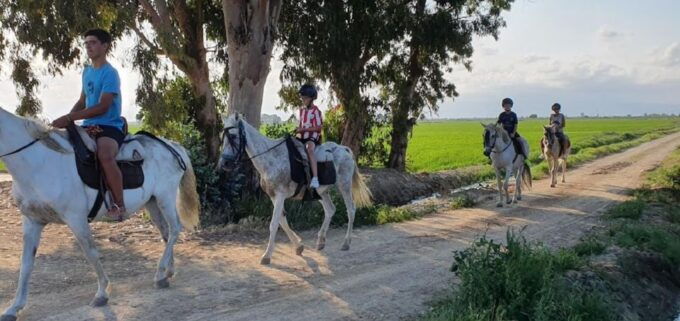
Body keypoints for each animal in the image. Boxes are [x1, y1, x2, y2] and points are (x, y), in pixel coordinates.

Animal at [0, 105, 201, 320]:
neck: (39, 162)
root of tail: (172, 146)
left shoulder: (76, 218)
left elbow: (91, 253)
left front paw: (102, 293)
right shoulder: (32, 221)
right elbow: (26, 264)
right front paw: (14, 307)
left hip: (165, 197)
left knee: (175, 229)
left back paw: (160, 273)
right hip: (152, 202)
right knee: (165, 232)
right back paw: (167, 272)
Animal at [218, 114, 372, 264]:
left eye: (233, 136)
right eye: (223, 136)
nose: (224, 163)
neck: (271, 158)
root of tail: (345, 149)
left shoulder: (280, 195)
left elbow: (274, 224)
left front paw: (267, 256)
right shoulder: (274, 196)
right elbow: (282, 221)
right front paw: (298, 246)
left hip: (344, 185)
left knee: (350, 210)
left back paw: (346, 243)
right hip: (321, 192)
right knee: (330, 209)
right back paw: (321, 241)